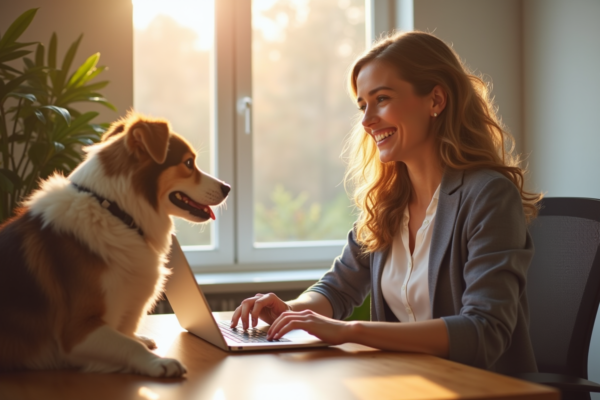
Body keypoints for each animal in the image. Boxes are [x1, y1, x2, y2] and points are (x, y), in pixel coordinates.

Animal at [0, 112, 230, 378]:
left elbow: (127, 335)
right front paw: (157, 362)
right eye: (189, 163)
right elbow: (127, 343)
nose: (227, 188)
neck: (116, 212)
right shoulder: (76, 331)